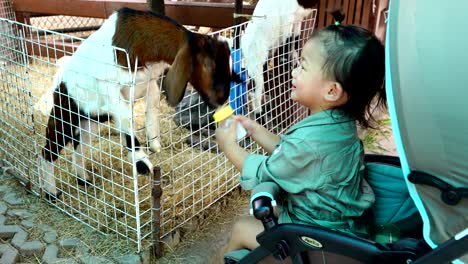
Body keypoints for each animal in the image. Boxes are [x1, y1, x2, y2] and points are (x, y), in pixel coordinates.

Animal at [41, 7, 234, 199]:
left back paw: (83, 179)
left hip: (89, 122)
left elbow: (151, 112)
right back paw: (51, 192)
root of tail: (59, 85)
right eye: (209, 65)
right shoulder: (111, 90)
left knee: (79, 146)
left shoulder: (150, 84)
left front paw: (155, 145)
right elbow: (127, 122)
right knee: (48, 150)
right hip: (64, 116)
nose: (223, 99)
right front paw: (142, 164)